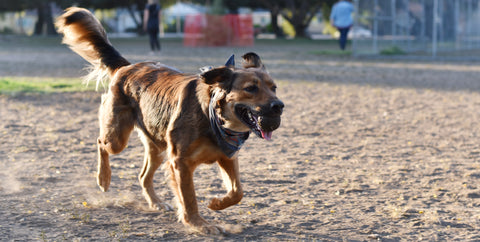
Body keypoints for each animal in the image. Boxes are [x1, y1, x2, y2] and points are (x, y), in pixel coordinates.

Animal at [55, 7, 284, 234]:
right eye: (251, 89)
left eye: (274, 88)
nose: (279, 106)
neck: (212, 118)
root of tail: (127, 67)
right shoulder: (180, 162)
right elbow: (189, 198)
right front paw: (199, 224)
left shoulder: (227, 157)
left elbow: (238, 191)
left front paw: (216, 203)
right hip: (118, 139)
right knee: (101, 143)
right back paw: (103, 178)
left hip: (157, 147)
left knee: (143, 176)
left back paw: (155, 203)